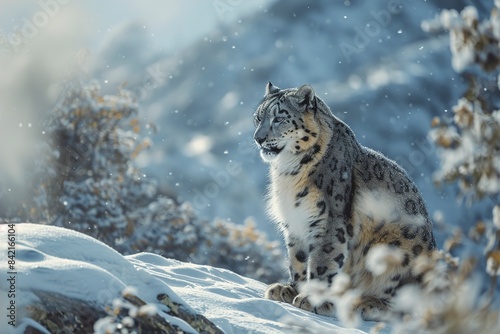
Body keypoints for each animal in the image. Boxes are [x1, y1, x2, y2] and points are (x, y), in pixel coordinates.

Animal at [252, 82, 436, 320]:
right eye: (258, 118)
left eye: (279, 118)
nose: (258, 138)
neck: (287, 172)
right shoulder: (296, 221)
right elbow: (298, 258)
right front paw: (290, 289)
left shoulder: (329, 219)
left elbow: (323, 261)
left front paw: (312, 300)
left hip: (395, 253)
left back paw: (367, 303)